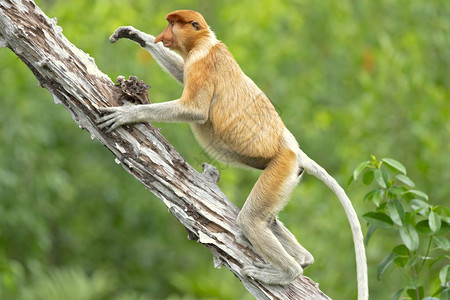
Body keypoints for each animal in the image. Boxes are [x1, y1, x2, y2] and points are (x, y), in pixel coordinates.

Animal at [96, 9, 368, 300]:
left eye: (172, 24)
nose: (163, 35)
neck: (206, 41)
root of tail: (293, 149)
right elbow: (182, 74)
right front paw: (137, 35)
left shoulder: (201, 62)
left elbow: (194, 109)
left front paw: (127, 113)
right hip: (288, 175)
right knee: (269, 220)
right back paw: (303, 258)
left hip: (281, 166)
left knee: (251, 220)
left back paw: (288, 271)